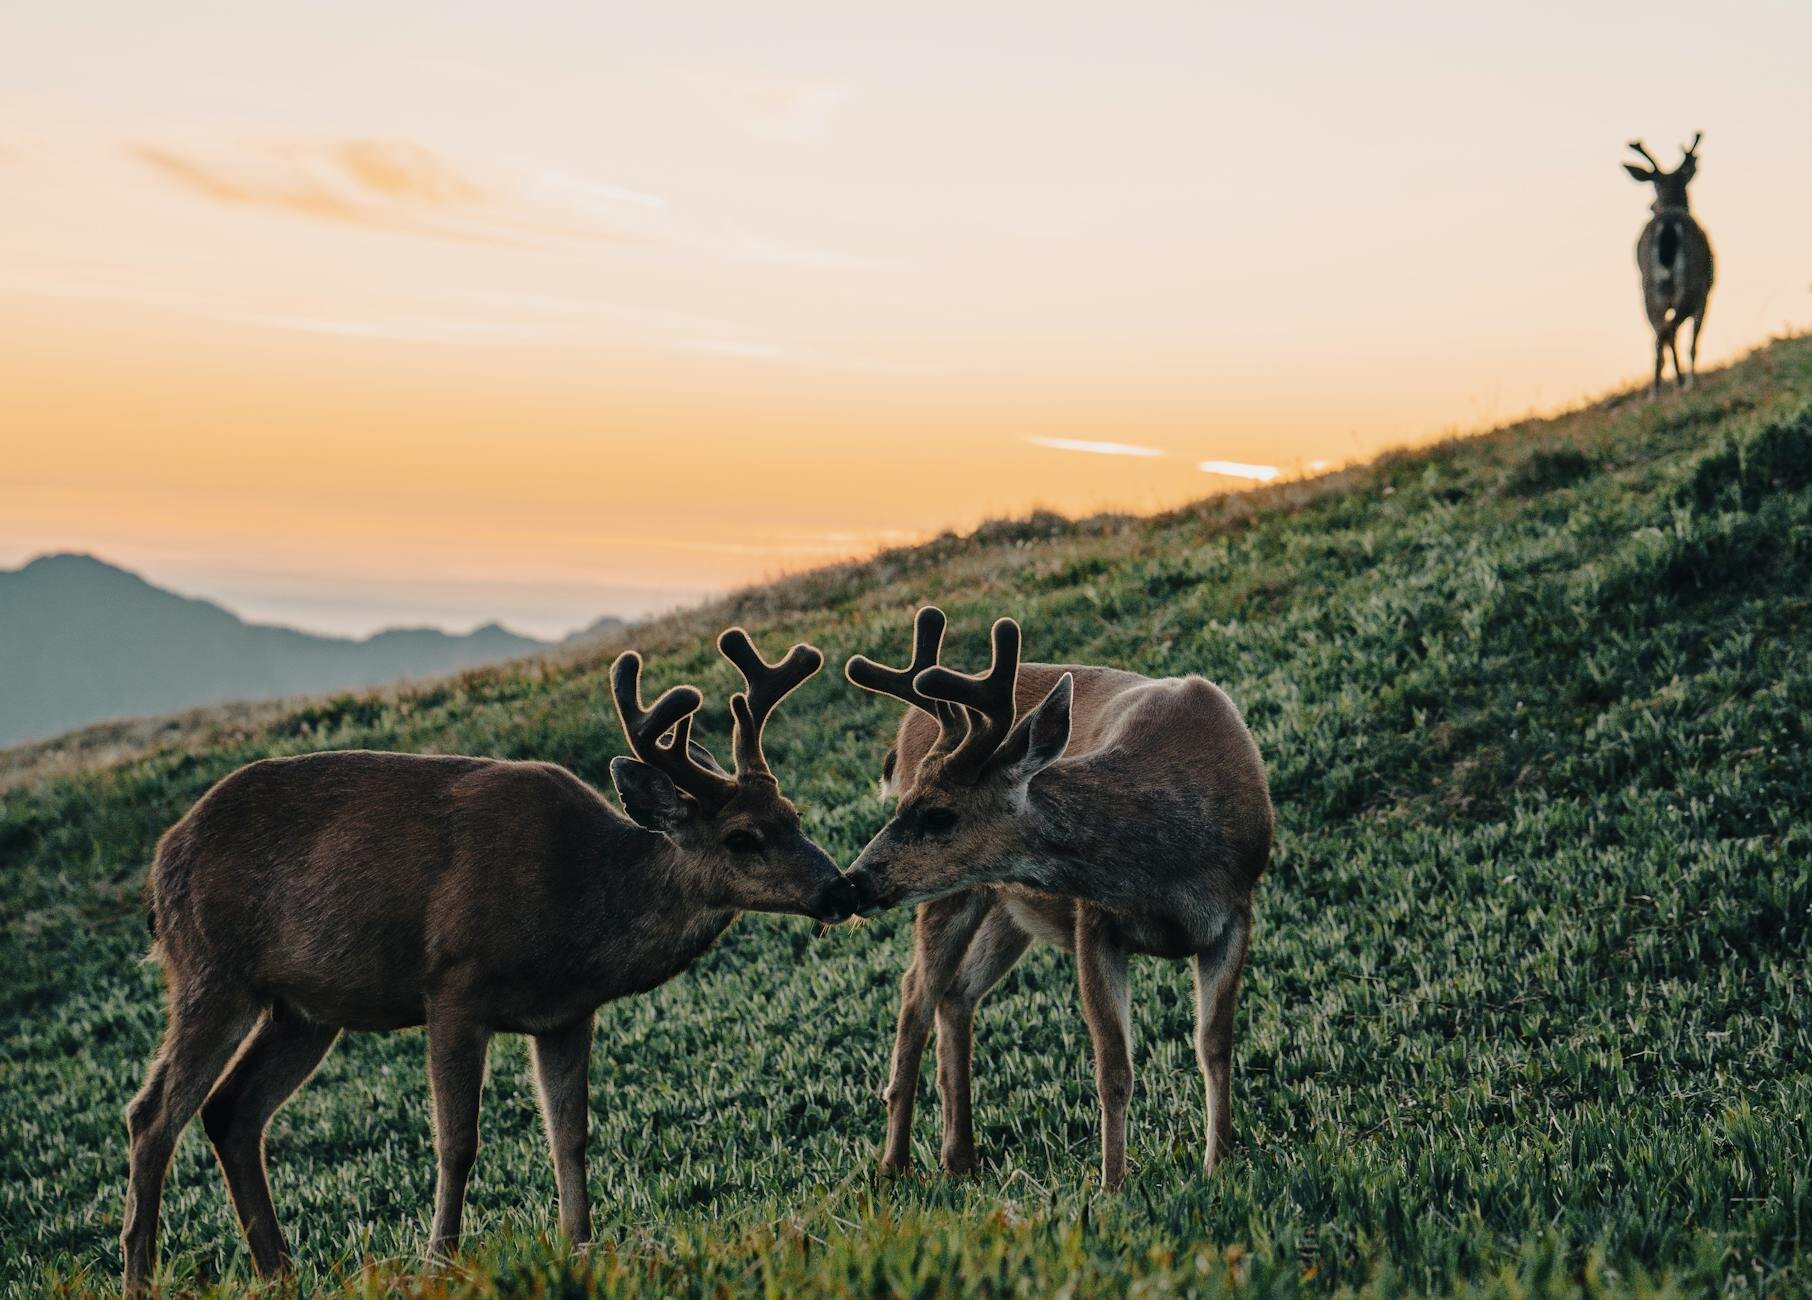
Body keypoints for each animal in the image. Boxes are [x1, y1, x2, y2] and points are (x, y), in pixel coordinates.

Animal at [122, 627, 855, 1290]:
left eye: (792, 813)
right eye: (742, 837)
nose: (839, 888)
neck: (578, 904)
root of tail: (161, 864)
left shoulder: (567, 1016)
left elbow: (571, 1135)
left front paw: (582, 1249)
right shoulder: (453, 985)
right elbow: (458, 1142)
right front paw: (438, 1263)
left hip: (304, 1010)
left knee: (231, 1112)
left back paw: (280, 1272)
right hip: (212, 969)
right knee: (153, 1114)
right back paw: (141, 1277)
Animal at [840, 609, 1268, 1189]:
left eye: (940, 815)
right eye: (905, 803)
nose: (853, 882)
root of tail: (906, 727)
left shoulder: (1237, 911)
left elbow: (1215, 1044)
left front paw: (1219, 1161)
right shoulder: (1094, 919)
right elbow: (1114, 1069)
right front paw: (1113, 1185)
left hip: (1012, 906)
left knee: (956, 994)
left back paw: (961, 1157)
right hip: (959, 893)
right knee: (916, 994)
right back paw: (895, 1163)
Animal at [1623, 132, 1717, 398]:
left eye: (1654, 185)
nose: (1651, 205)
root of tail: (1667, 226)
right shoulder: (1707, 292)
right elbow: (1694, 341)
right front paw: (1691, 380)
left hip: (1649, 290)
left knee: (1660, 333)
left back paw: (1656, 390)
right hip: (1692, 283)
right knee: (1671, 330)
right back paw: (1682, 382)